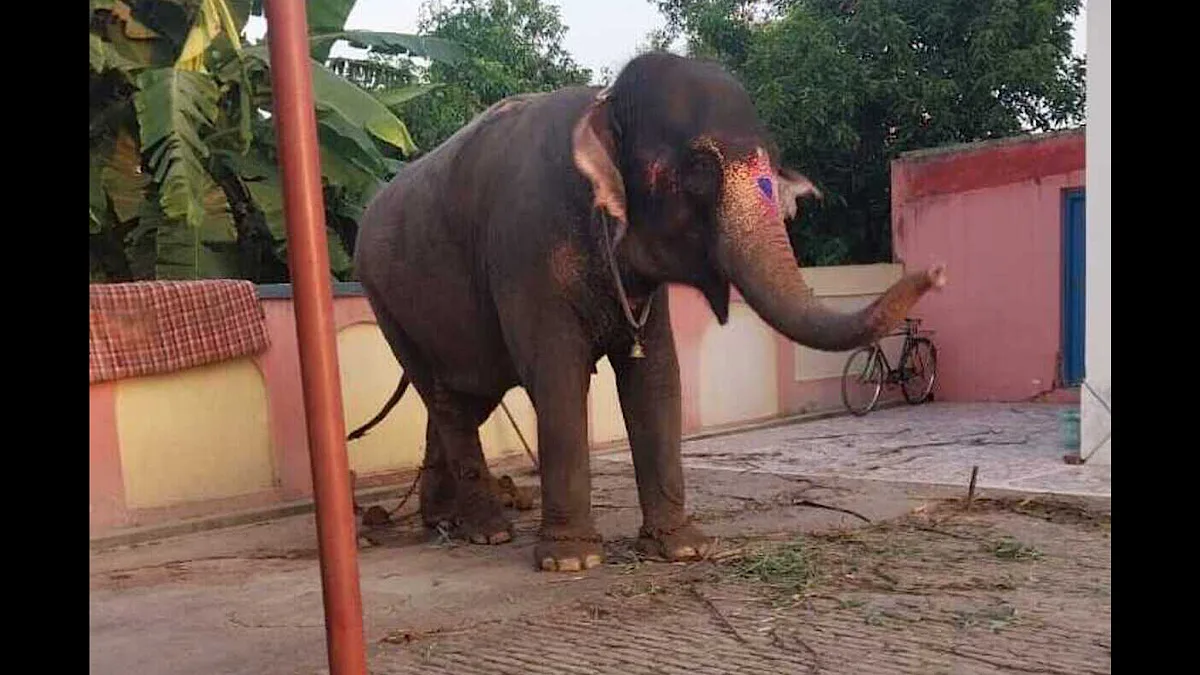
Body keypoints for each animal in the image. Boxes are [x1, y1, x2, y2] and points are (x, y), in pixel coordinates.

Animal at [353, 52, 945, 573]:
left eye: (774, 165)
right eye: (701, 169)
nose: (937, 273)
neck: (604, 102)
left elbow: (657, 375)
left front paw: (683, 549)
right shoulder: (525, 253)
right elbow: (558, 376)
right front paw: (571, 561)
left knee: (461, 399)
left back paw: (443, 522)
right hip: (387, 302)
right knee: (449, 400)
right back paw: (488, 531)